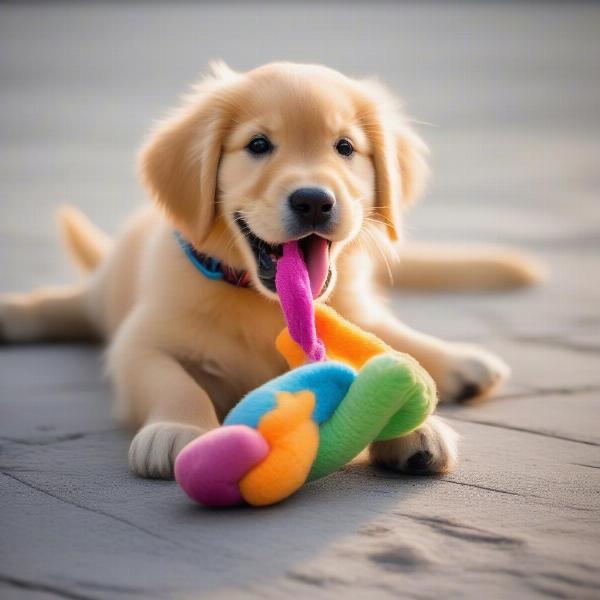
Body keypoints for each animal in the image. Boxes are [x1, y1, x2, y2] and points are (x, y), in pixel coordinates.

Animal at [1, 61, 544, 480]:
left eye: (344, 147)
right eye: (259, 145)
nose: (314, 201)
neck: (262, 301)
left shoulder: (344, 318)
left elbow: (384, 353)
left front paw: (417, 426)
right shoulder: (140, 341)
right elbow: (173, 381)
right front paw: (178, 430)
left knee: (392, 331)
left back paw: (462, 363)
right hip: (101, 294)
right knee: (63, 306)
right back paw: (15, 315)